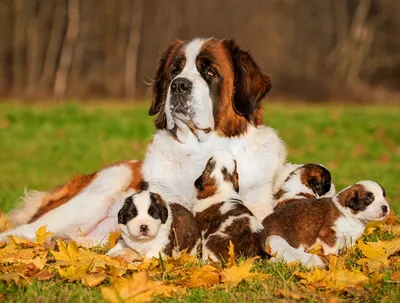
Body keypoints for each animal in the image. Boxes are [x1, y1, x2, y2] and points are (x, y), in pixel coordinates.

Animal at [0, 37, 294, 252]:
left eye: (210, 71)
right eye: (174, 71)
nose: (179, 85)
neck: (201, 150)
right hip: (98, 190)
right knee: (21, 231)